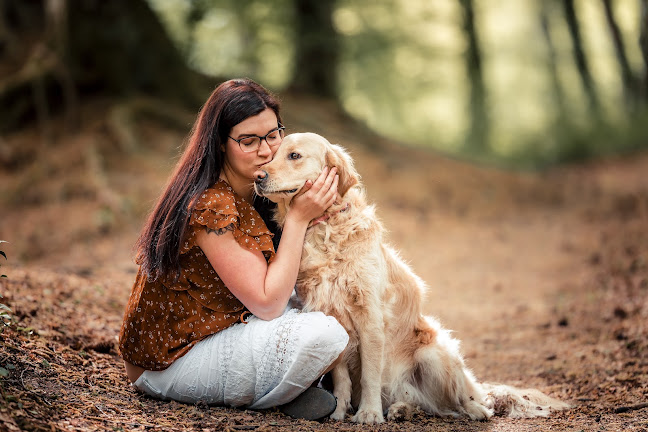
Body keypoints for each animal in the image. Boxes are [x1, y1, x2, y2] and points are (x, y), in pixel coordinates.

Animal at [253, 133, 568, 424]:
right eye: (270, 155)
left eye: (294, 155)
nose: (258, 176)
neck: (326, 229)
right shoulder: (332, 317)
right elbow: (342, 378)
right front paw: (340, 411)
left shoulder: (371, 317)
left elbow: (370, 374)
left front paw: (368, 414)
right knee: (427, 405)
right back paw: (401, 409)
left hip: (433, 356)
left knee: (459, 402)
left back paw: (475, 410)